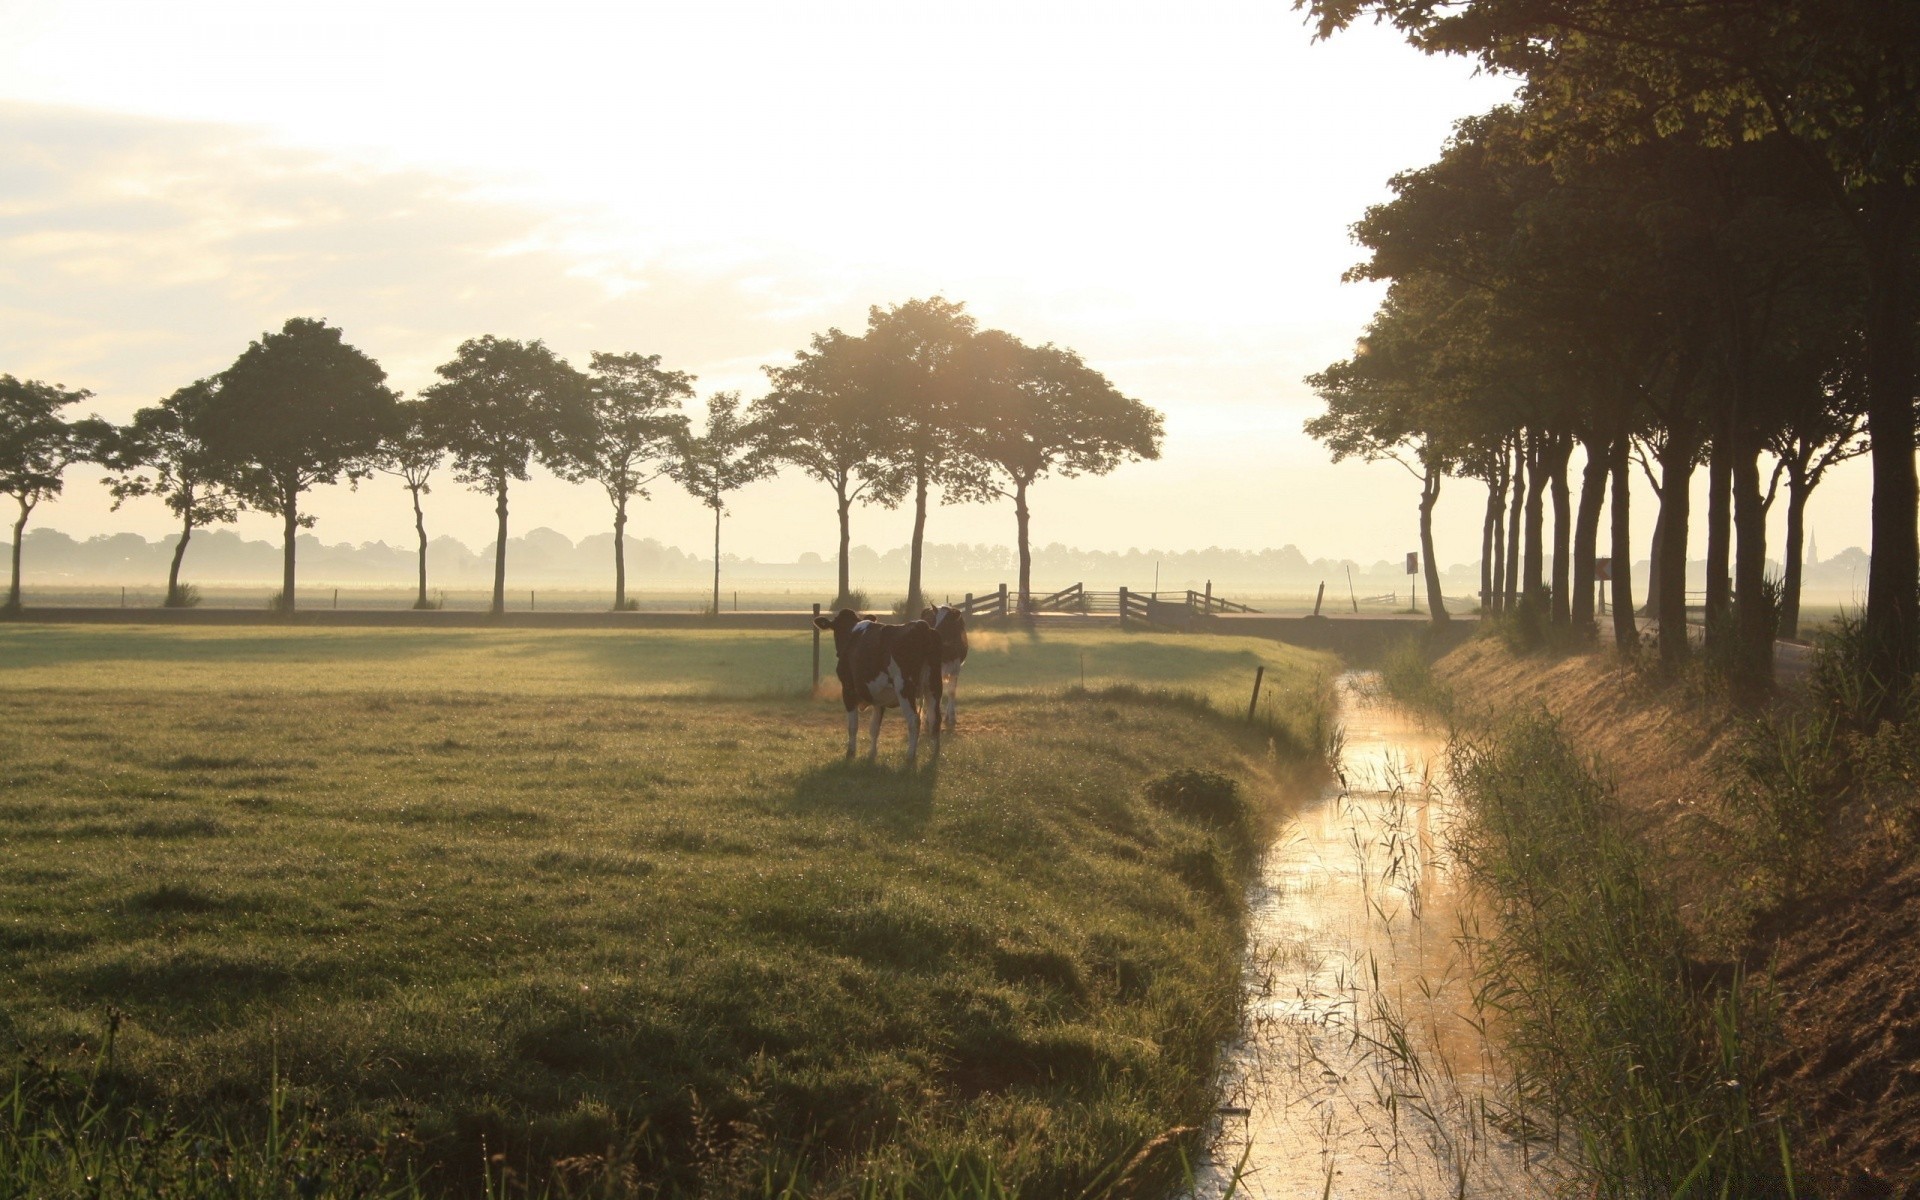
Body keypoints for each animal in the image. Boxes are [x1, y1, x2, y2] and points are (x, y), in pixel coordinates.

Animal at [810, 602, 944, 764]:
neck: (852, 634)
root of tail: (921, 626)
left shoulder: (848, 689)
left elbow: (853, 725)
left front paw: (850, 753)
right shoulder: (879, 697)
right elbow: (874, 727)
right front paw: (872, 755)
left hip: (905, 688)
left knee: (914, 720)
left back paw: (910, 757)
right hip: (934, 686)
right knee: (935, 719)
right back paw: (934, 755)